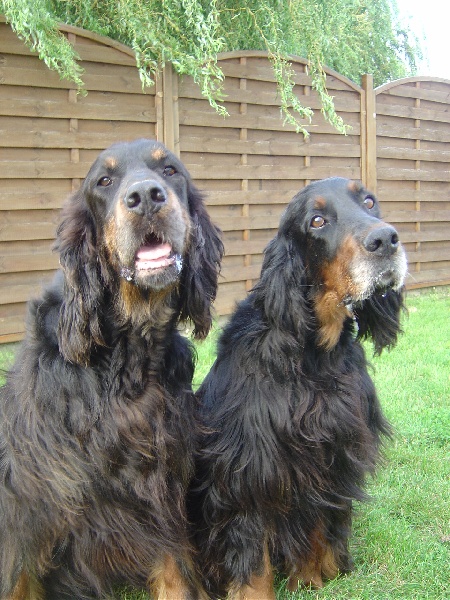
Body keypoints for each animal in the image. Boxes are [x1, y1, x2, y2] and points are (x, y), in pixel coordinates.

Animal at [0, 138, 223, 599]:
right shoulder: (29, 498)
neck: (126, 357)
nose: (146, 197)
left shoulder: (162, 479)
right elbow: (20, 574)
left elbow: (173, 563)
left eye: (170, 170)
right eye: (104, 180)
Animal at [192, 177, 407, 599]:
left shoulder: (331, 454)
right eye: (317, 220)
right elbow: (252, 557)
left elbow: (317, 527)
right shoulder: (250, 469)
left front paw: (309, 580)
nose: (385, 239)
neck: (313, 356)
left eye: (369, 202)